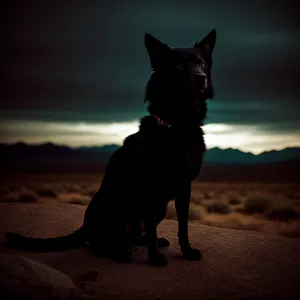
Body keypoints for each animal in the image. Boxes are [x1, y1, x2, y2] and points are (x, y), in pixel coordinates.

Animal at [6, 28, 216, 268]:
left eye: (201, 64)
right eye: (179, 65)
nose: (201, 78)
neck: (178, 125)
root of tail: (85, 227)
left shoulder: (184, 187)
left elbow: (183, 226)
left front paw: (187, 252)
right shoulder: (149, 188)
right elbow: (154, 227)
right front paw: (154, 259)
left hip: (160, 208)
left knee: (133, 236)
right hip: (117, 207)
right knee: (101, 244)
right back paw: (120, 253)